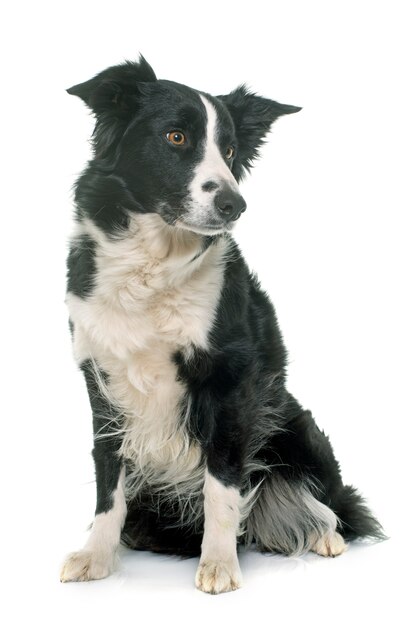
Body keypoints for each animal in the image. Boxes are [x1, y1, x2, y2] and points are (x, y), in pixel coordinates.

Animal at [61, 56, 384, 592]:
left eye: (229, 150)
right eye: (175, 137)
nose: (235, 204)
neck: (153, 265)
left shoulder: (229, 381)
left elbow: (222, 483)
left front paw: (217, 563)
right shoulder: (101, 378)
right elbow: (108, 480)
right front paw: (96, 556)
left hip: (296, 423)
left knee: (335, 504)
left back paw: (323, 535)